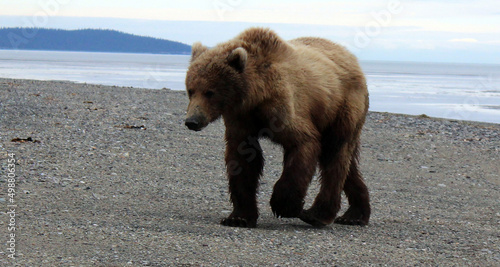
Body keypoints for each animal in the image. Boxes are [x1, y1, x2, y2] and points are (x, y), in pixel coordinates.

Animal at [186, 26, 370, 228]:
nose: (192, 121)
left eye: (210, 92)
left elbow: (302, 143)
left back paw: (317, 214)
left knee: (335, 154)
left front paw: (285, 205)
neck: (255, 95)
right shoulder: (240, 118)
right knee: (347, 164)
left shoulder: (284, 107)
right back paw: (355, 214)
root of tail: (352, 58)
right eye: (191, 90)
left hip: (342, 107)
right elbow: (243, 158)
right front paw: (238, 217)